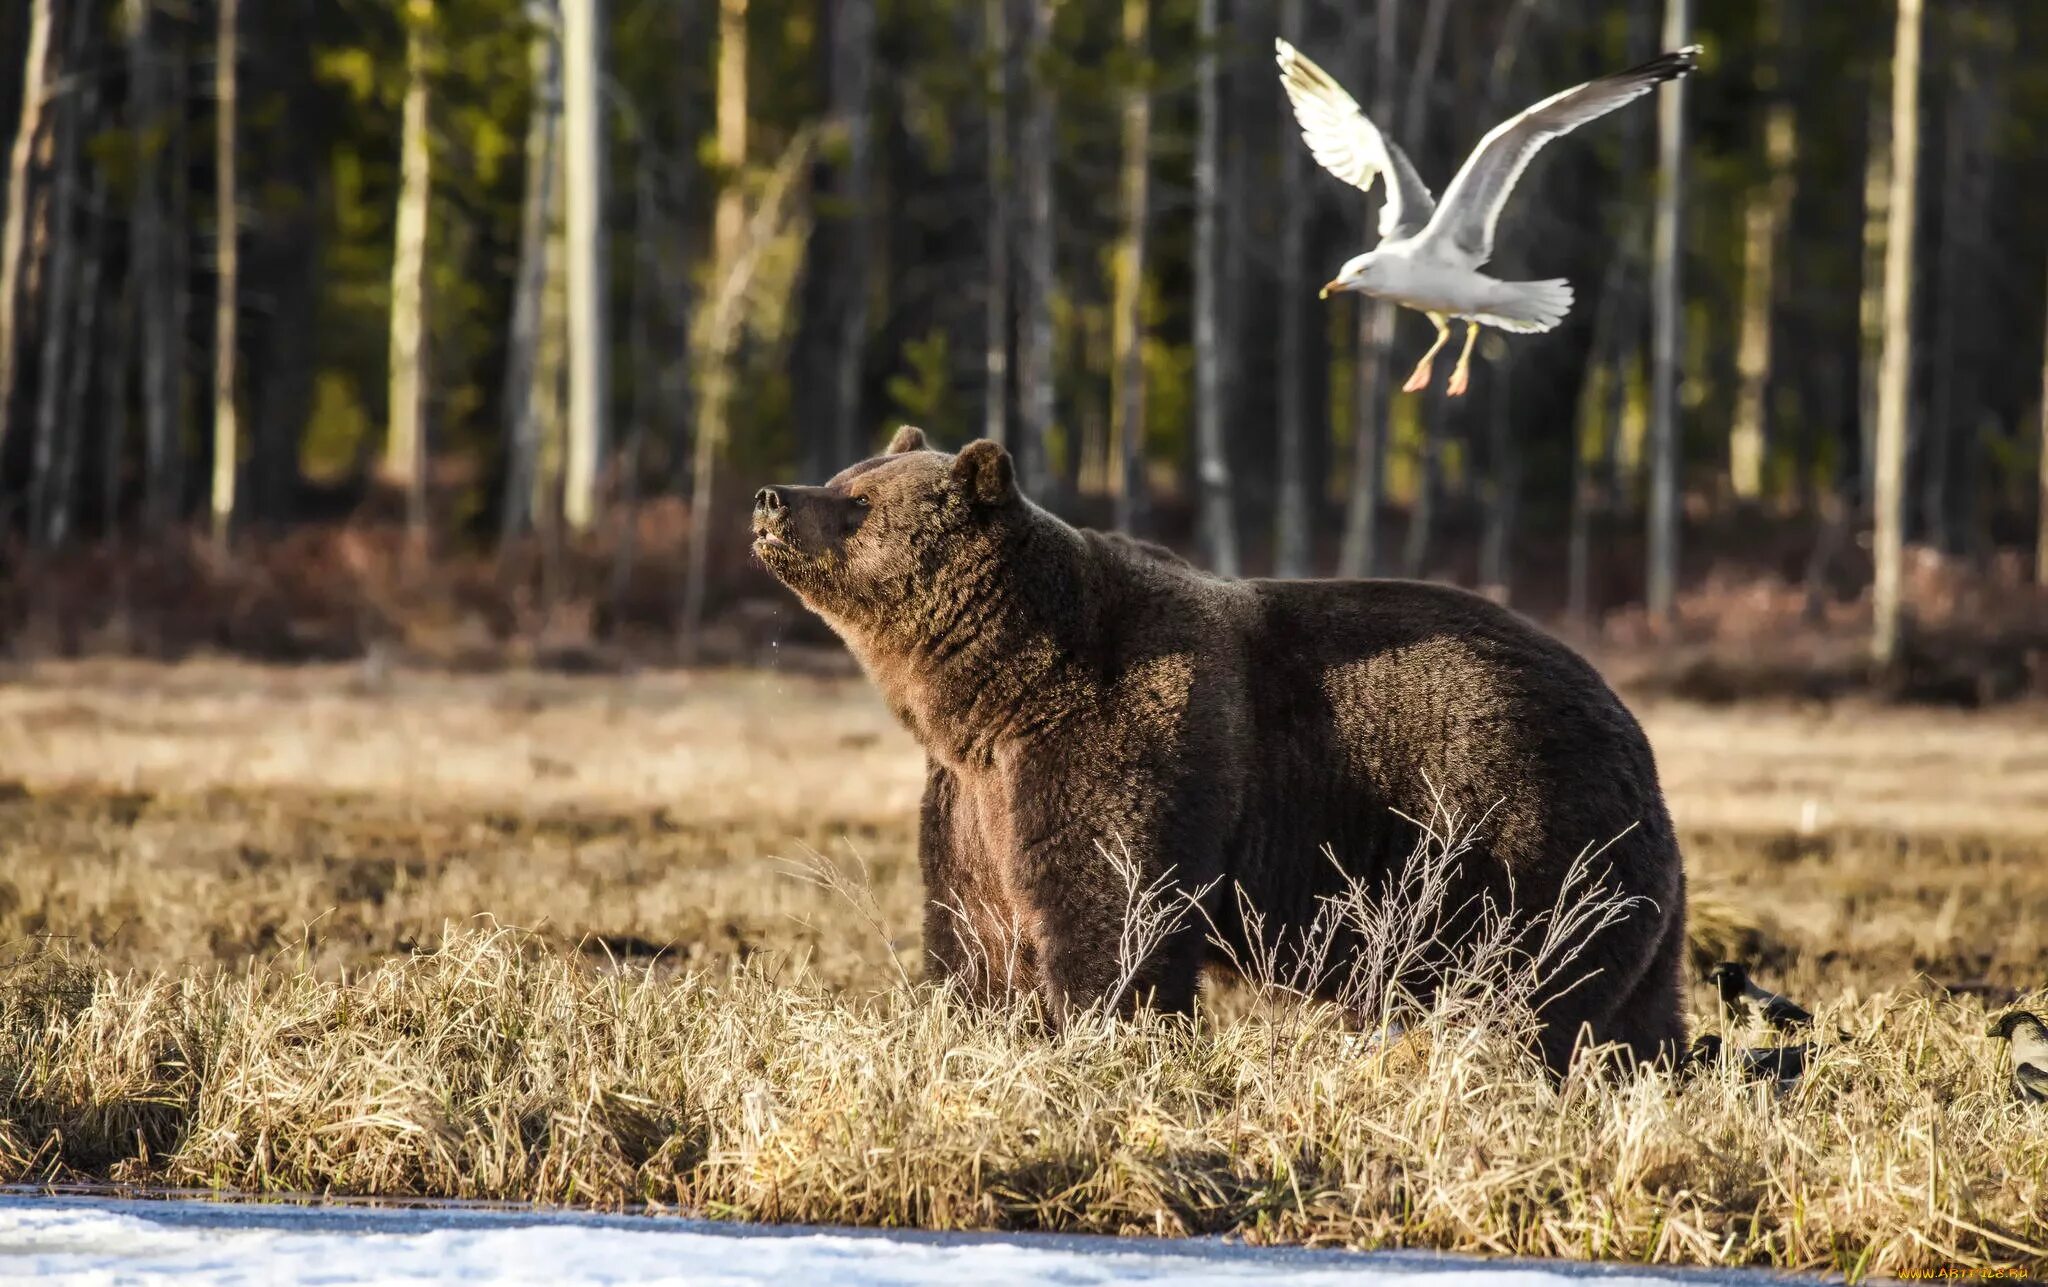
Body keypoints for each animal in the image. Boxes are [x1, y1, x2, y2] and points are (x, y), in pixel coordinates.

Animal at [749, 428, 1679, 1073]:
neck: (998, 691)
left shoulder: (1122, 739)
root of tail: (1635, 736)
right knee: (1632, 1015)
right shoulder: (972, 796)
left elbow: (1114, 911)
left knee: (1522, 985)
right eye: (846, 476)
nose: (770, 497)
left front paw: (1105, 1033)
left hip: (1511, 834)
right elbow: (975, 929)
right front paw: (978, 1022)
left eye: (859, 502)